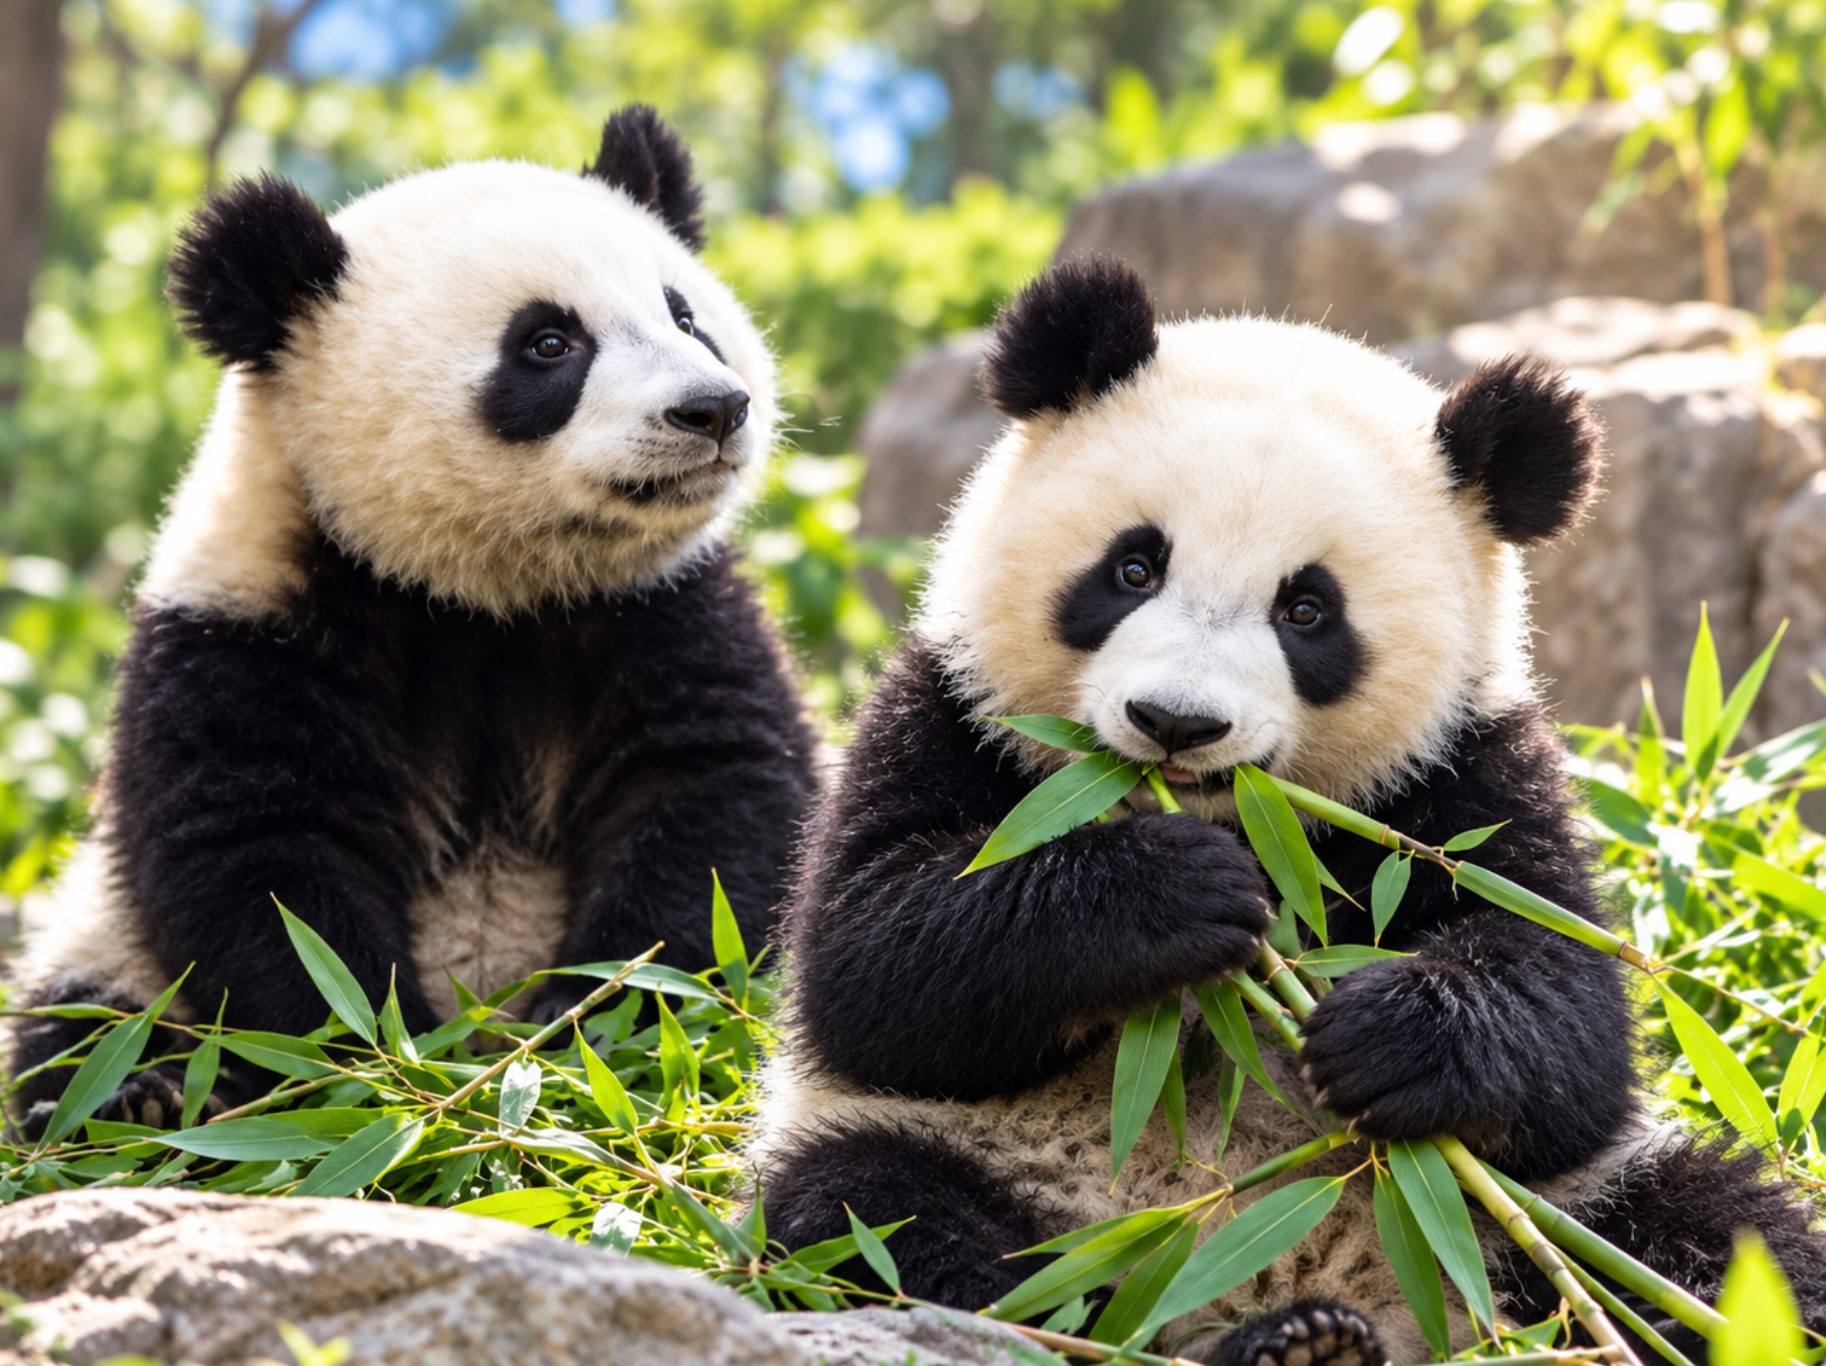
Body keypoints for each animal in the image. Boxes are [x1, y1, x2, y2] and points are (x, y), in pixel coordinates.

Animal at [8, 106, 816, 1136]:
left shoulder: (664, 605)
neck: (483, 588)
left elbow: (715, 797)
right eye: (547, 343)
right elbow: (263, 861)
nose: (712, 409)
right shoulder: (247, 627)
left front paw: (588, 1024)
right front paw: (401, 1065)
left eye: (684, 315)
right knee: (78, 1028)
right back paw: (141, 1100)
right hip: (103, 941)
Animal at [751, 258, 1826, 1364]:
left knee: (1723, 1239)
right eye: (1132, 567)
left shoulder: (1465, 775)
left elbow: (1567, 1015)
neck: (1243, 820)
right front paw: (1172, 895)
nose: (1175, 722)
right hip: (967, 1161)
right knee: (882, 1218)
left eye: (1307, 610)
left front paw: (1385, 1031)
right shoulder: (950, 711)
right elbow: (875, 958)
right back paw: (1239, 1338)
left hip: (1546, 1221)